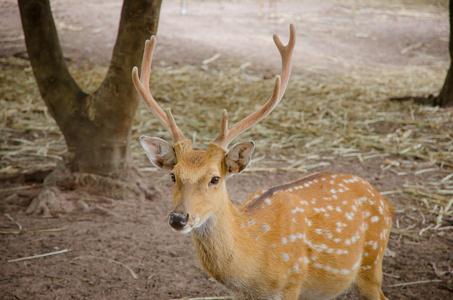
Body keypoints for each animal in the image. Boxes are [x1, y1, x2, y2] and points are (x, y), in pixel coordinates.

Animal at [132, 24, 390, 300]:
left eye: (215, 178)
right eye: (173, 175)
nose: (178, 218)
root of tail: (385, 202)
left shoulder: (291, 283)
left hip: (371, 262)